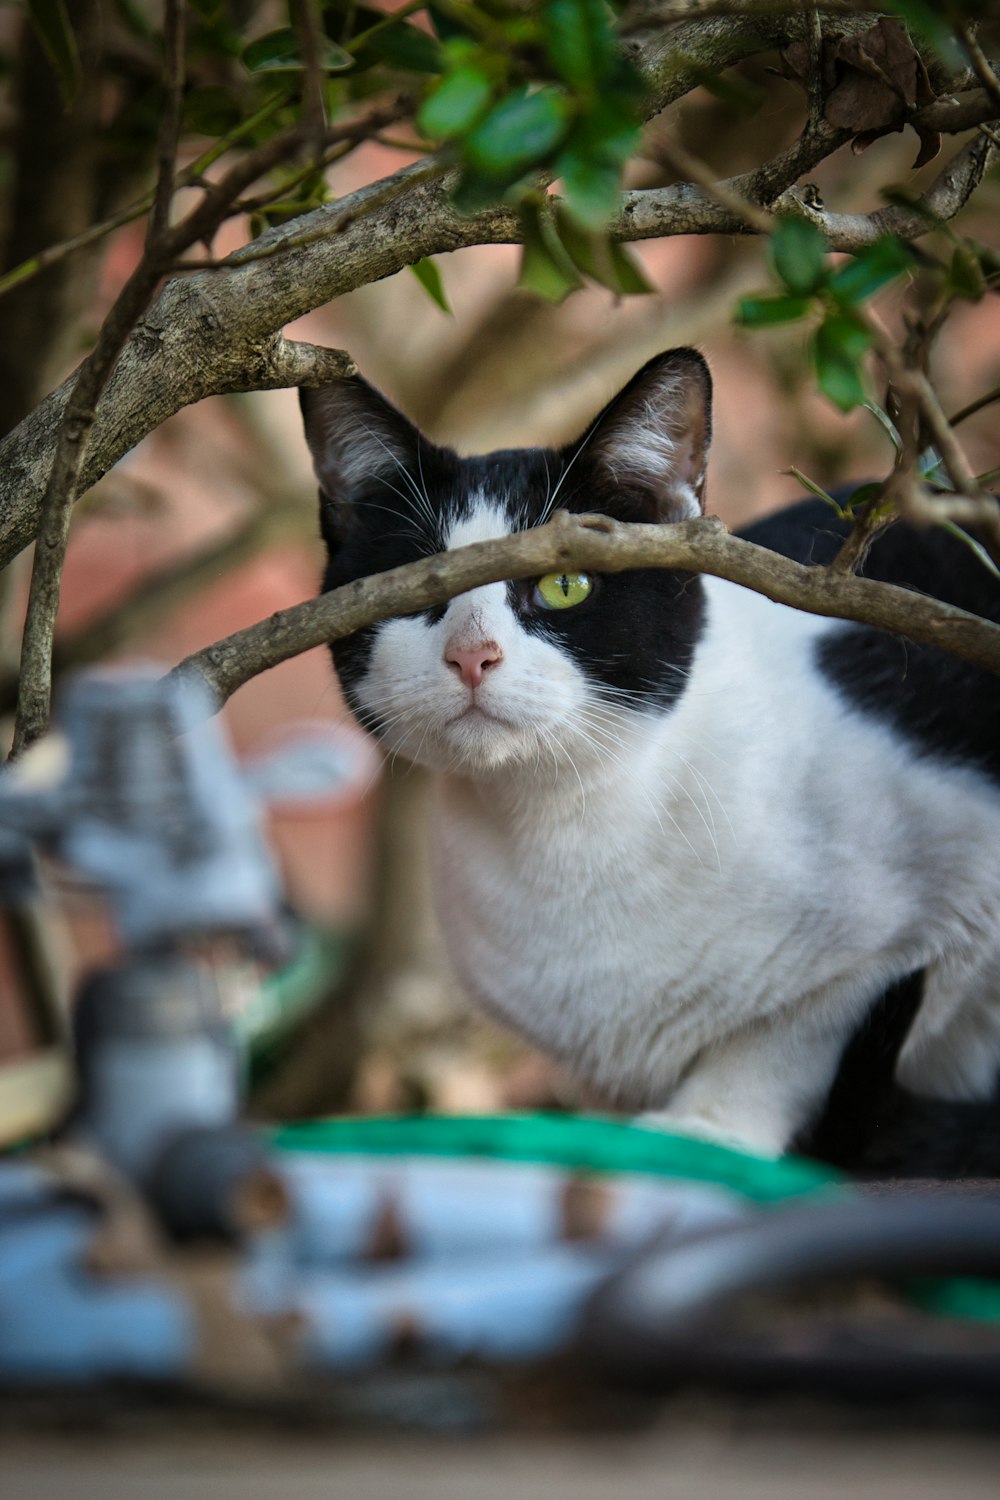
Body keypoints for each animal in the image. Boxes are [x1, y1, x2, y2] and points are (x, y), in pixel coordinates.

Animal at [299, 348, 1000, 1170]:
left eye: (565, 583)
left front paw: (707, 1129)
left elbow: (792, 1035)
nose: (473, 655)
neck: (559, 829)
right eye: (410, 590)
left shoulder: (929, 911)